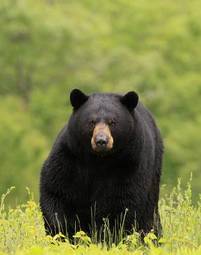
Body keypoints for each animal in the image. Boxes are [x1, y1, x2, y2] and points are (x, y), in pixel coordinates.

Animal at [39, 88, 163, 240]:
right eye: (91, 121)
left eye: (112, 122)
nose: (101, 141)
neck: (99, 160)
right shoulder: (70, 157)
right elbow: (57, 191)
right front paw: (63, 233)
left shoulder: (129, 163)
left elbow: (122, 201)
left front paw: (106, 236)